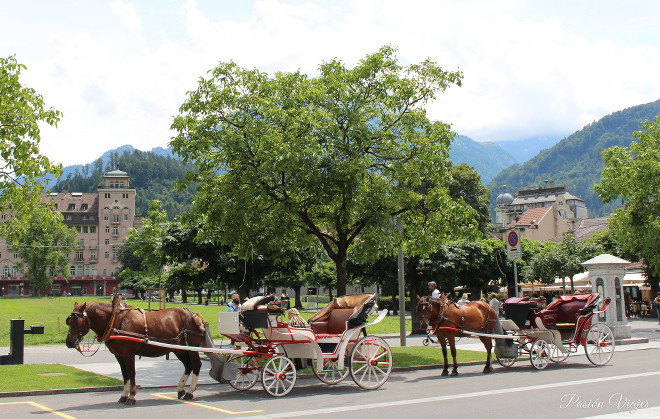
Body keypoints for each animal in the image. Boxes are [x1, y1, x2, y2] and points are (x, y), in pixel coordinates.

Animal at [65, 300, 205, 406]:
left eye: (77, 322)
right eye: (69, 321)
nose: (69, 342)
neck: (116, 320)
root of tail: (193, 314)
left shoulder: (128, 354)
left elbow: (131, 373)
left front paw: (131, 396)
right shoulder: (119, 355)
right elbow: (125, 374)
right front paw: (124, 395)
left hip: (191, 348)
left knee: (196, 365)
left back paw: (190, 392)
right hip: (179, 349)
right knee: (188, 366)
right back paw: (181, 389)